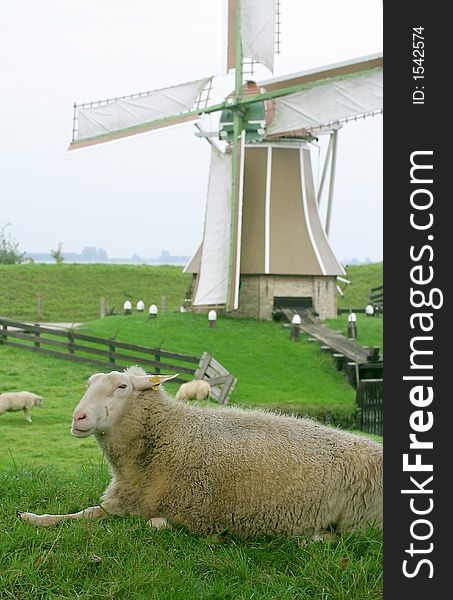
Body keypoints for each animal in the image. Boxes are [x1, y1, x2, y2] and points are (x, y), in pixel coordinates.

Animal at [18, 366, 382, 540]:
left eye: (122, 387)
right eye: (89, 385)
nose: (78, 417)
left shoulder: (195, 514)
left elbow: (155, 524)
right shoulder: (122, 502)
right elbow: (83, 514)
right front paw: (34, 518)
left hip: (360, 520)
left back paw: (312, 538)